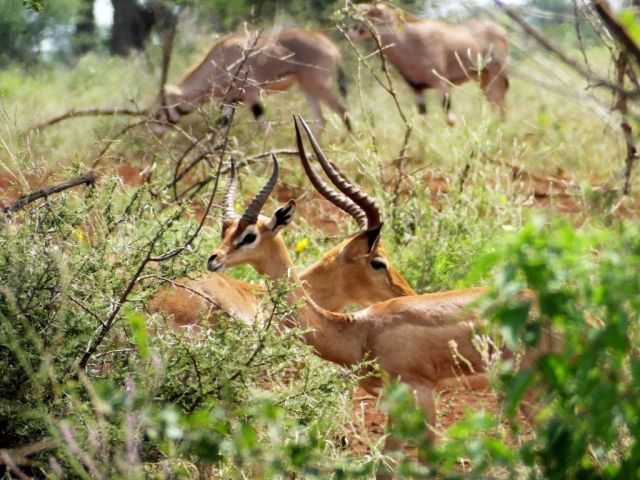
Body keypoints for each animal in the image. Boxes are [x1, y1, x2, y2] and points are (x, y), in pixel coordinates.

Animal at [153, 28, 351, 134]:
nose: (157, 130)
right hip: (308, 89)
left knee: (343, 111)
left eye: (162, 107)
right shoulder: (230, 100)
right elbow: (221, 129)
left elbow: (266, 128)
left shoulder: (251, 95)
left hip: (319, 86)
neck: (219, 61)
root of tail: (333, 48)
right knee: (322, 119)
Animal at [206, 146, 559, 468]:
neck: (358, 330)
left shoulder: (422, 393)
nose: (214, 259)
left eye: (249, 235)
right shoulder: (392, 403)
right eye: (226, 230)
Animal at [347, 3, 509, 124]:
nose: (351, 33)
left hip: (497, 76)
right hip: (483, 79)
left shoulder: (441, 85)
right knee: (495, 104)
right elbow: (423, 122)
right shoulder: (416, 90)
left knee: (499, 102)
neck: (408, 41)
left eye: (367, 13)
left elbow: (450, 120)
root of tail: (500, 31)